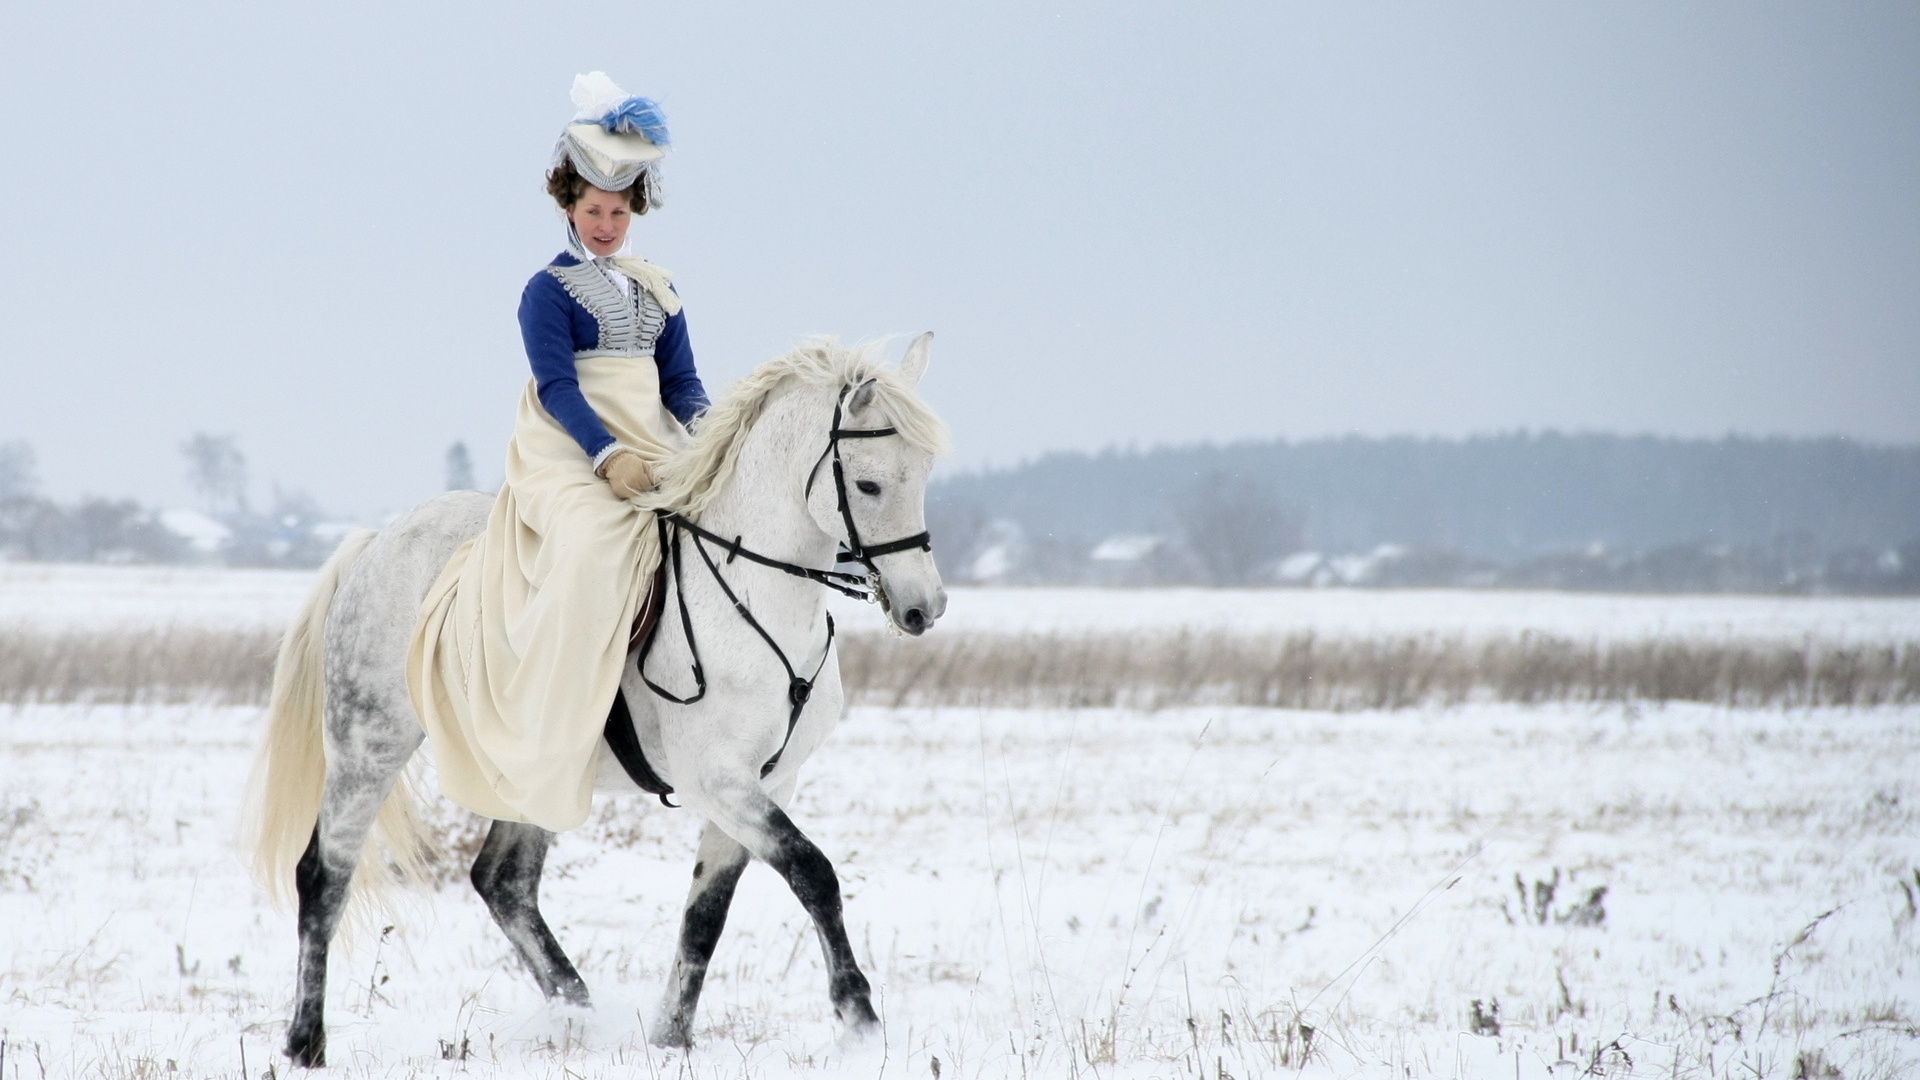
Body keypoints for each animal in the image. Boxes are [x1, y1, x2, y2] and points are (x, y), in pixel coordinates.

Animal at [247, 334, 952, 1060]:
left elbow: (706, 913)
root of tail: (378, 542)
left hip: (531, 770)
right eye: (868, 484)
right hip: (369, 745)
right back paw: (305, 1042)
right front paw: (859, 1015)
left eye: (925, 472)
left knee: (502, 881)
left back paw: (577, 1012)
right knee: (324, 874)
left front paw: (670, 1038)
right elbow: (813, 871)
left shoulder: (767, 783)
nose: (923, 609)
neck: (756, 602)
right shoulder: (718, 781)